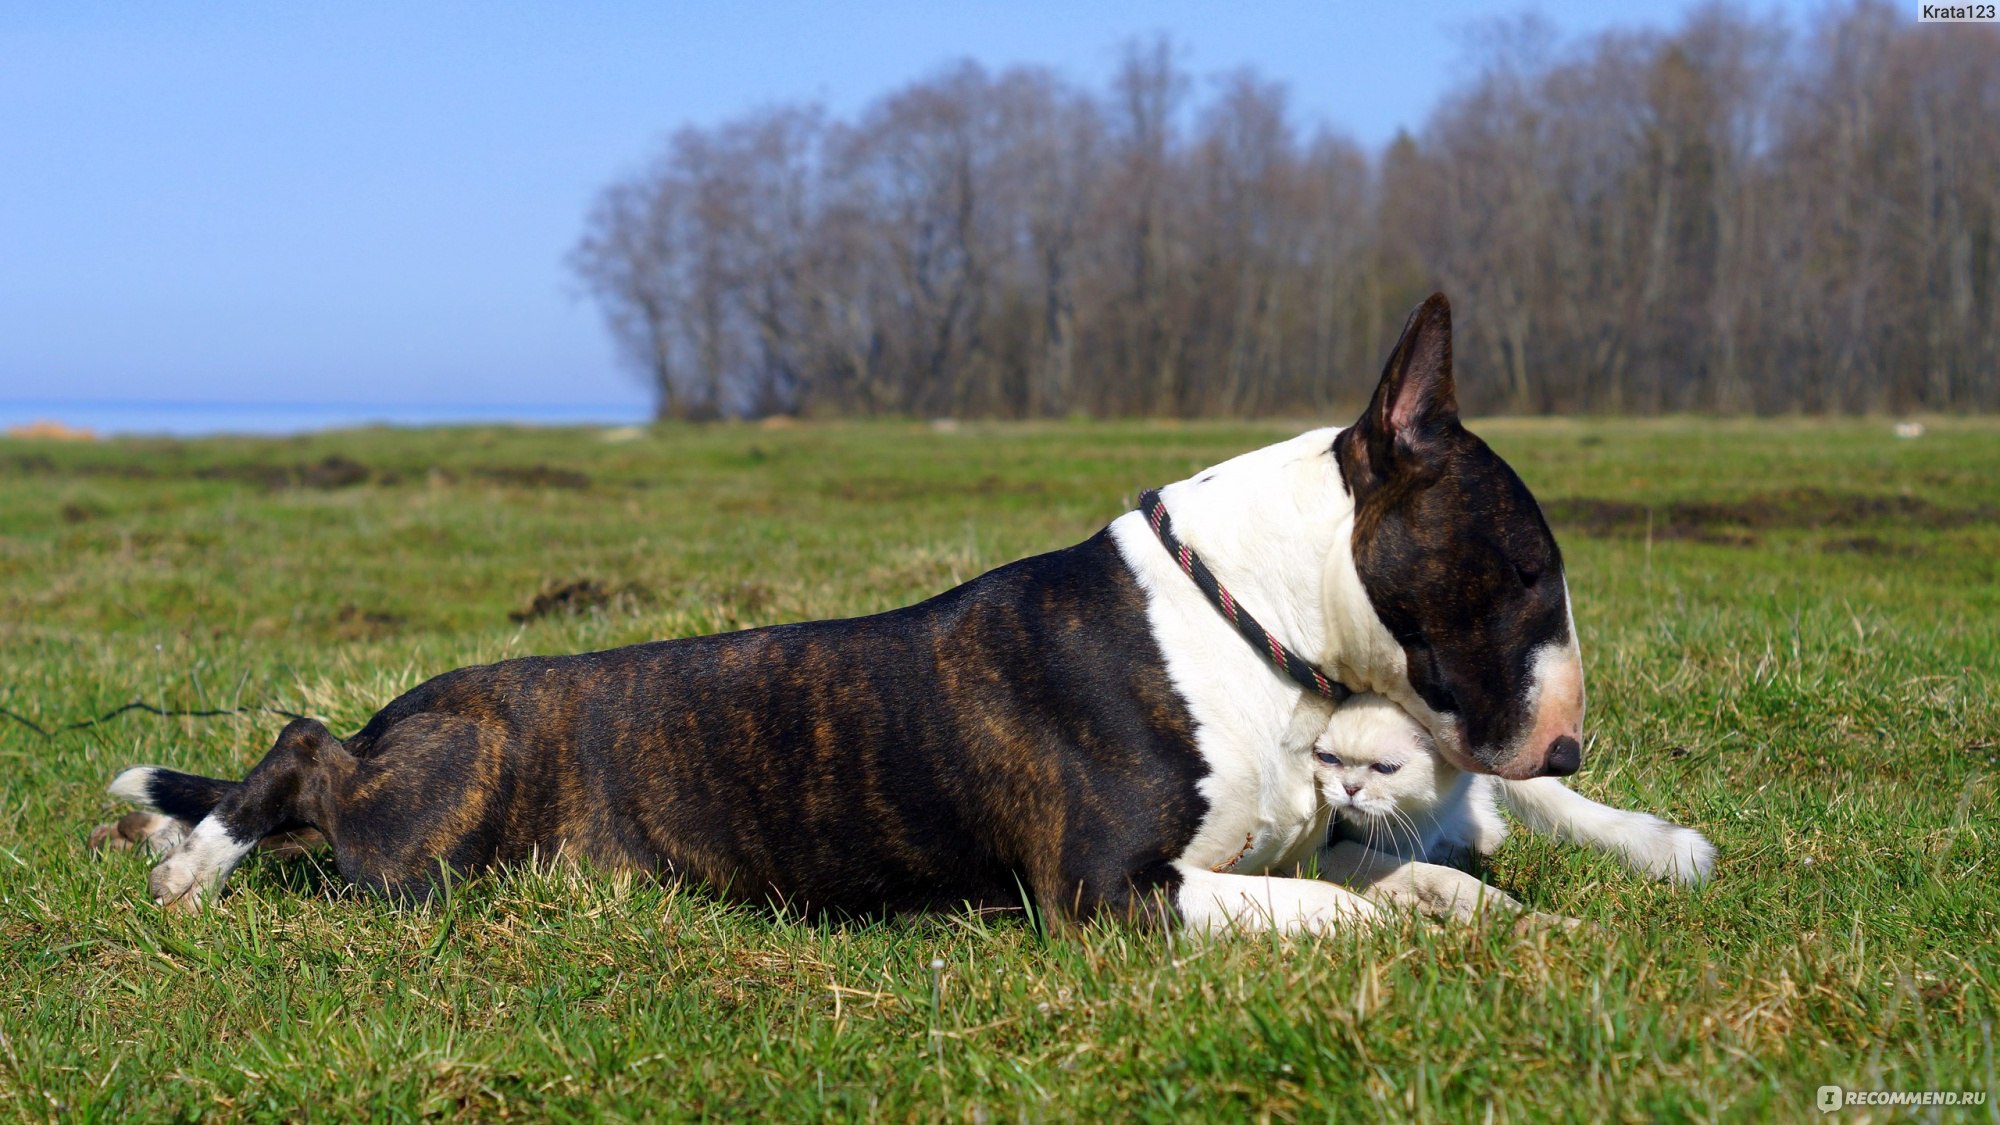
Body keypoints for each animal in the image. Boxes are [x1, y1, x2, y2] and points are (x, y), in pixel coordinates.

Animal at [94, 294, 1592, 932]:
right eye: (1528, 568)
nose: (1572, 751)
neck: (1249, 628)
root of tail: (407, 708)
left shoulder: (1282, 843)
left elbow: (1429, 880)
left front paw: (1542, 935)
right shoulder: (1110, 892)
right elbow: (1346, 915)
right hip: (427, 829)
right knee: (299, 754)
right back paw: (194, 860)